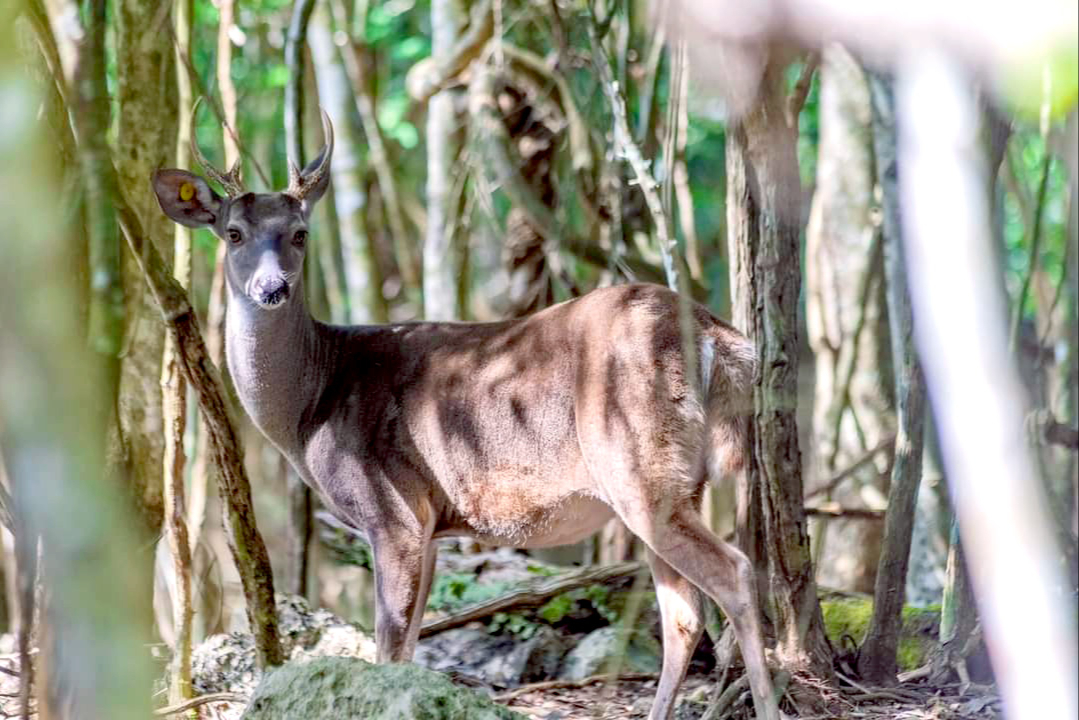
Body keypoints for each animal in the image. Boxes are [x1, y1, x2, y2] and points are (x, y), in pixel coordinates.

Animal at [147, 112, 781, 720]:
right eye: (233, 233)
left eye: (300, 233)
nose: (272, 286)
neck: (312, 406)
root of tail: (717, 335)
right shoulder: (429, 523)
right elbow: (409, 643)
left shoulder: (393, 510)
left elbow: (389, 644)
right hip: (675, 482)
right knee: (683, 616)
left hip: (638, 462)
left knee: (734, 573)